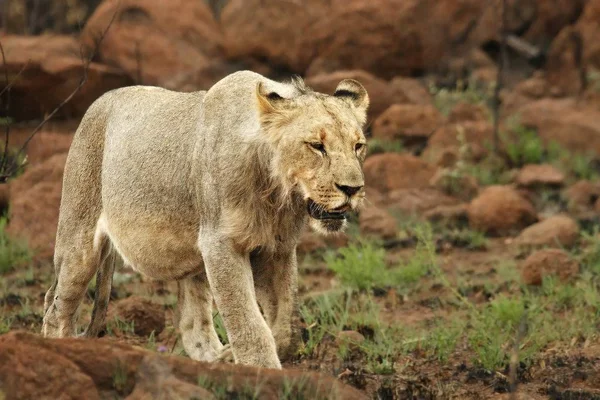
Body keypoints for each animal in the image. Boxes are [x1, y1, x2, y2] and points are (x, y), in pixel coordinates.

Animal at [42, 71, 368, 368]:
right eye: (316, 146)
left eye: (358, 146)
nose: (353, 189)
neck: (276, 194)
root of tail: (100, 101)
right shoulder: (220, 242)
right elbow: (247, 322)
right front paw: (261, 370)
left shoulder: (277, 249)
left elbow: (287, 327)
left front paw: (248, 355)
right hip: (79, 240)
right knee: (54, 307)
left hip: (191, 260)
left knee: (192, 327)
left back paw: (218, 359)